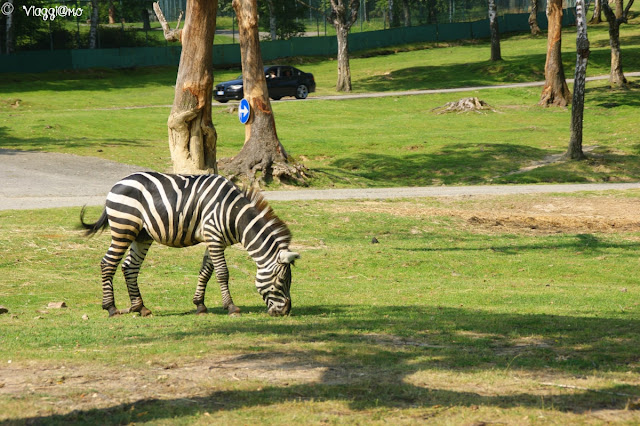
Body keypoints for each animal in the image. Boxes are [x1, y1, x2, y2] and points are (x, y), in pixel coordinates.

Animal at [80, 172, 300, 316]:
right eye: (282, 281)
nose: (286, 311)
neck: (234, 214)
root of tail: (117, 184)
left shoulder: (215, 240)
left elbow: (206, 271)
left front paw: (200, 305)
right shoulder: (214, 235)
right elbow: (222, 273)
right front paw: (231, 307)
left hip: (142, 235)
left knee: (129, 267)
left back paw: (140, 307)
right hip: (124, 227)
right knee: (108, 264)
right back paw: (111, 308)